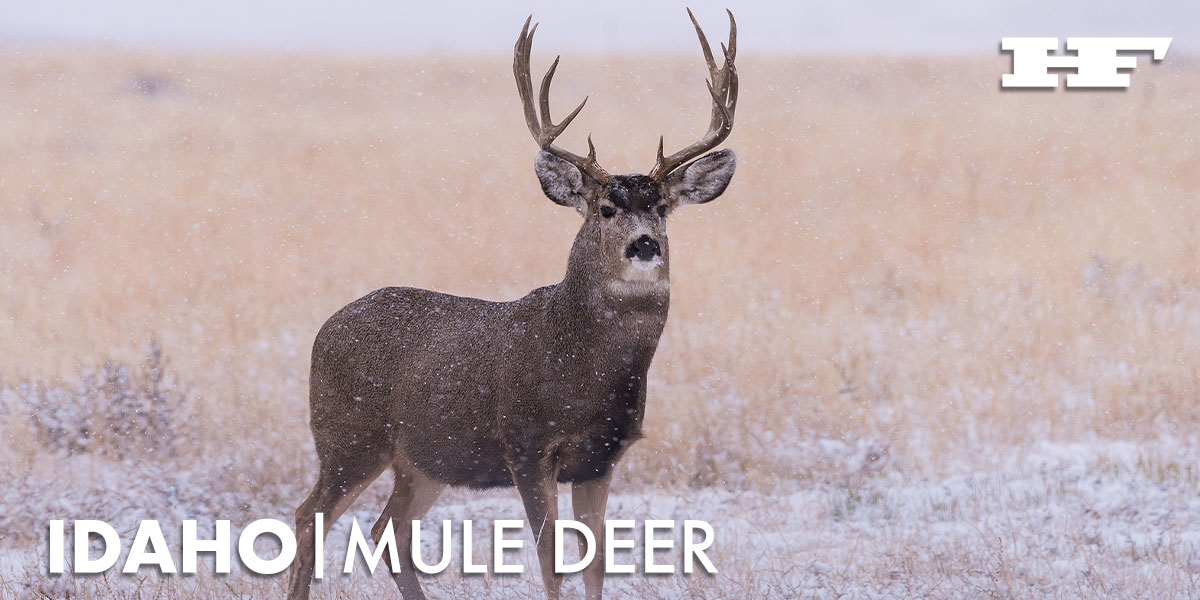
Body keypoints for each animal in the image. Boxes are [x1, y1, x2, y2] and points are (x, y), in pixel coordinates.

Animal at [286, 9, 737, 600]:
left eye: (662, 206)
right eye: (606, 208)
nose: (645, 245)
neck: (583, 369)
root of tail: (325, 328)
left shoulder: (601, 458)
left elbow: (595, 561)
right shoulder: (526, 444)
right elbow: (550, 558)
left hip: (424, 459)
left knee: (388, 528)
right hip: (348, 436)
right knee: (308, 516)